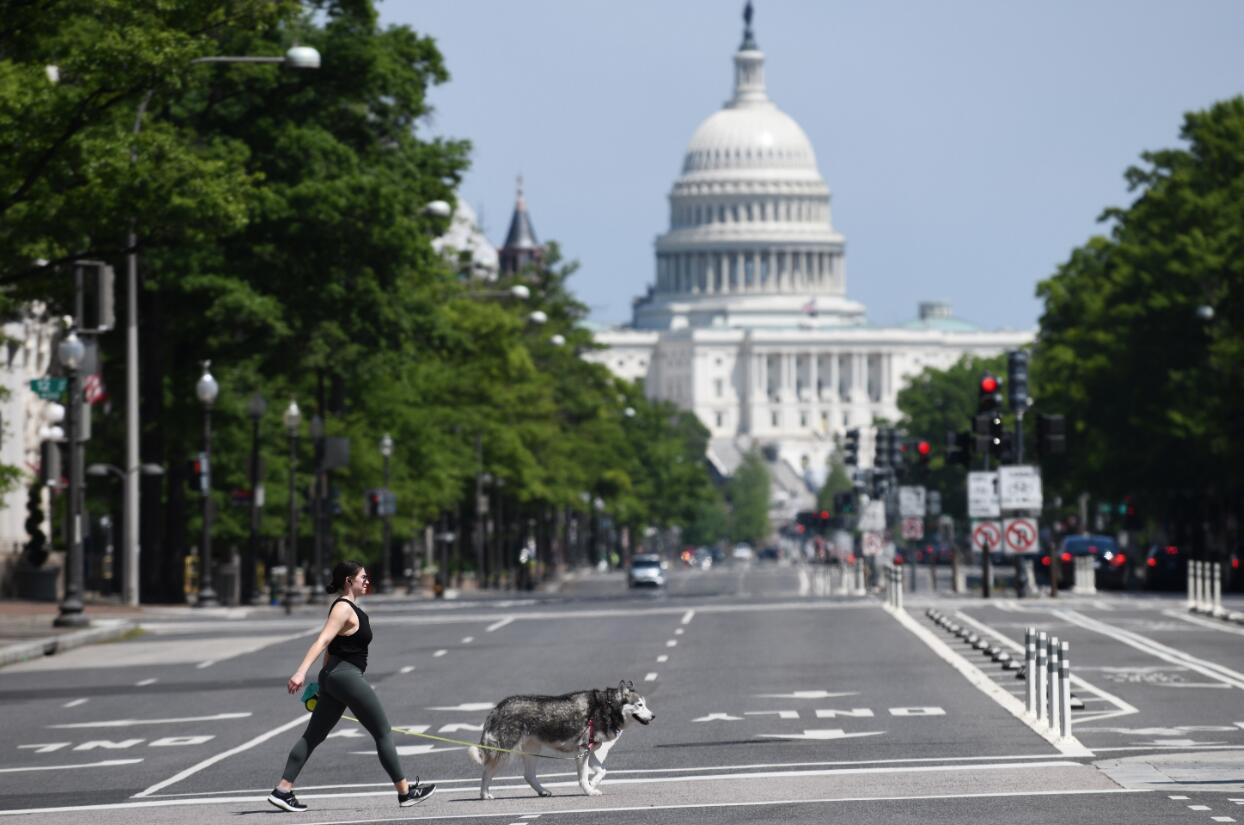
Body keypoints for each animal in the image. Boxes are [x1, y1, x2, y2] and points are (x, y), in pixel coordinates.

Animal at [467, 676, 656, 801]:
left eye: (645, 704)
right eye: (640, 705)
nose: (653, 716)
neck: (607, 708)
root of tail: (497, 708)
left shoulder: (587, 750)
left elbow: (602, 771)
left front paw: (593, 784)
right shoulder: (582, 750)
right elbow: (583, 777)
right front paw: (589, 790)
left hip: (532, 750)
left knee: (528, 775)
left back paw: (542, 791)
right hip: (504, 752)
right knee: (486, 772)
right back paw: (484, 794)